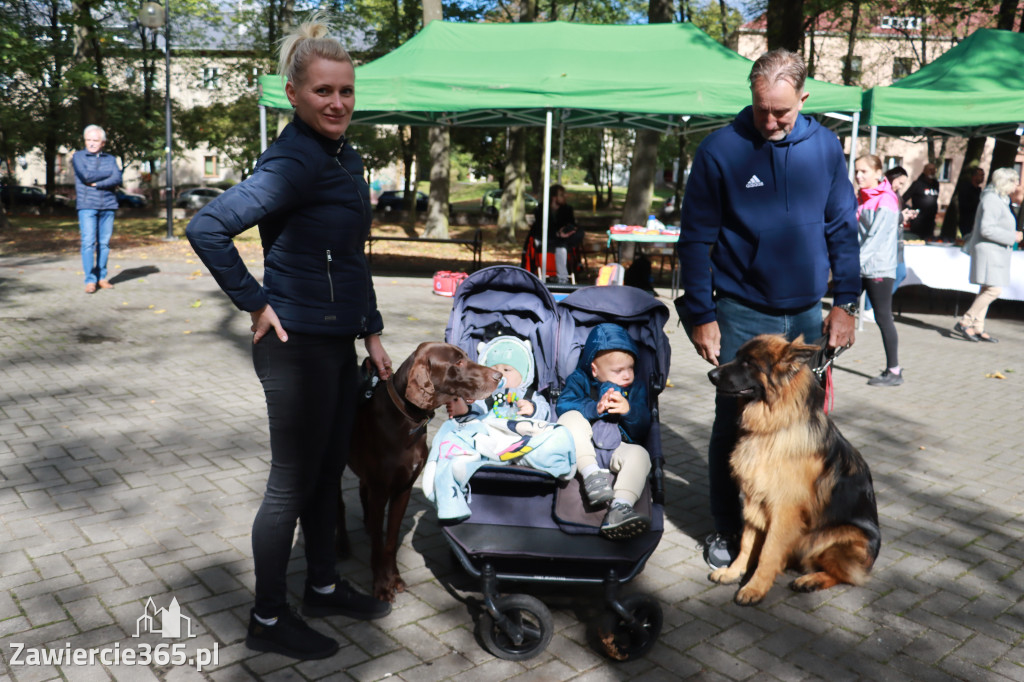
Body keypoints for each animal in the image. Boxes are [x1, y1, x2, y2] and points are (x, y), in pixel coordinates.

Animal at [344, 339, 499, 602]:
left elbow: (390, 540)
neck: (407, 418)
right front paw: (381, 586)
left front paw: (394, 579)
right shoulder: (381, 490)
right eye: (458, 362)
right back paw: (340, 544)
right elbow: (378, 544)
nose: (499, 375)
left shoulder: (403, 489)